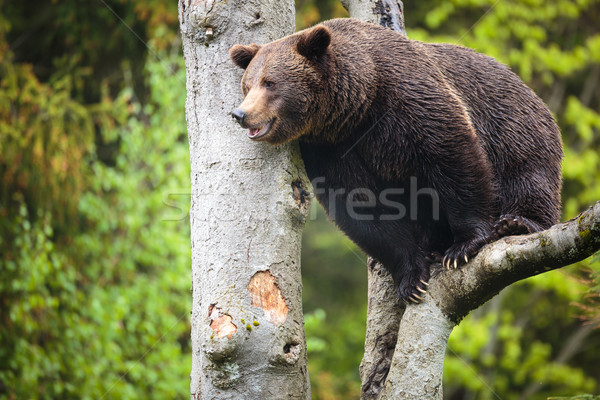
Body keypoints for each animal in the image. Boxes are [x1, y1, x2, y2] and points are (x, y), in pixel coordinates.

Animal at [227, 16, 560, 304]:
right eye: (248, 84)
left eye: (270, 82)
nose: (240, 114)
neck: (358, 105)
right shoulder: (330, 147)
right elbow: (362, 205)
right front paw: (412, 278)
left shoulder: (410, 100)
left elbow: (453, 159)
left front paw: (463, 245)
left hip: (515, 127)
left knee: (528, 175)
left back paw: (517, 222)